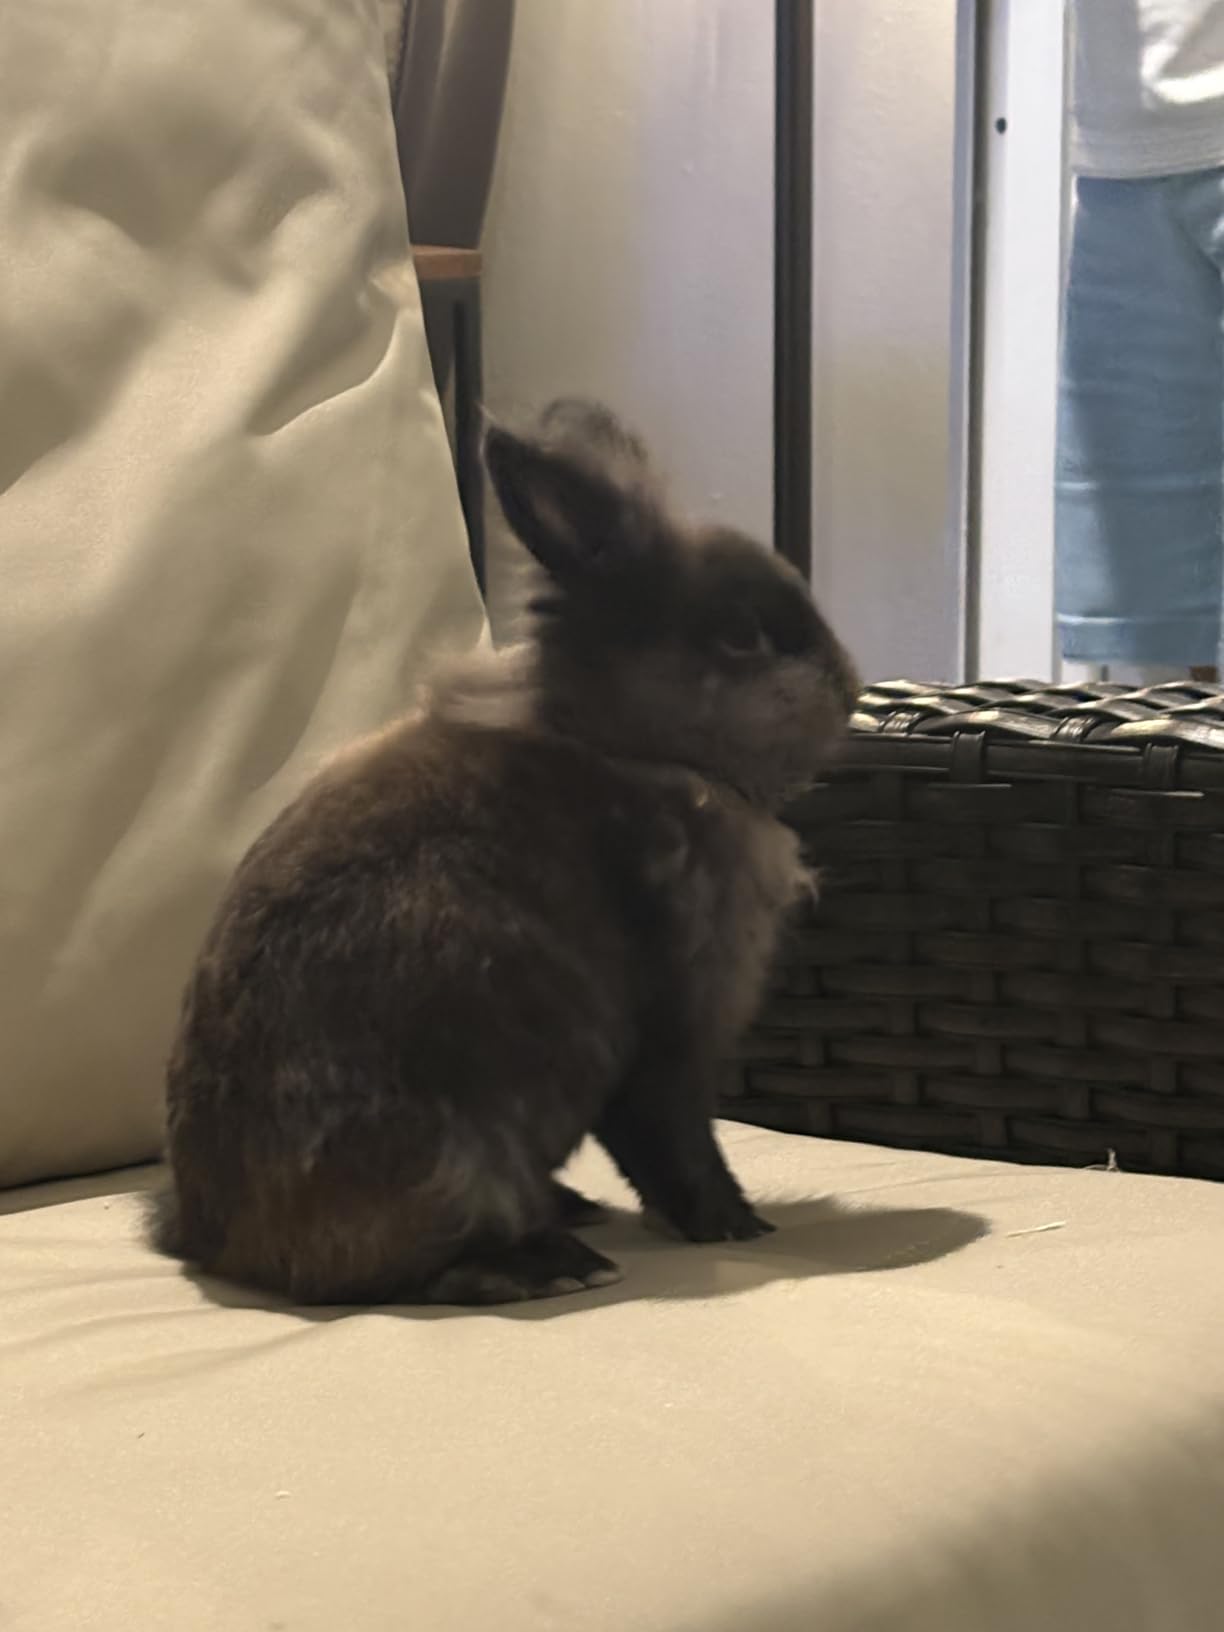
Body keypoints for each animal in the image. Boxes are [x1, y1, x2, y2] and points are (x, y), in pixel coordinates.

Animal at [154, 398, 859, 1306]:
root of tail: (213, 1245)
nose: (848, 683)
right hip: (455, 1157)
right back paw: (558, 1263)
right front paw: (739, 1225)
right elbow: (674, 1143)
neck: (624, 742)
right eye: (741, 636)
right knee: (423, 1270)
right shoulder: (672, 1037)